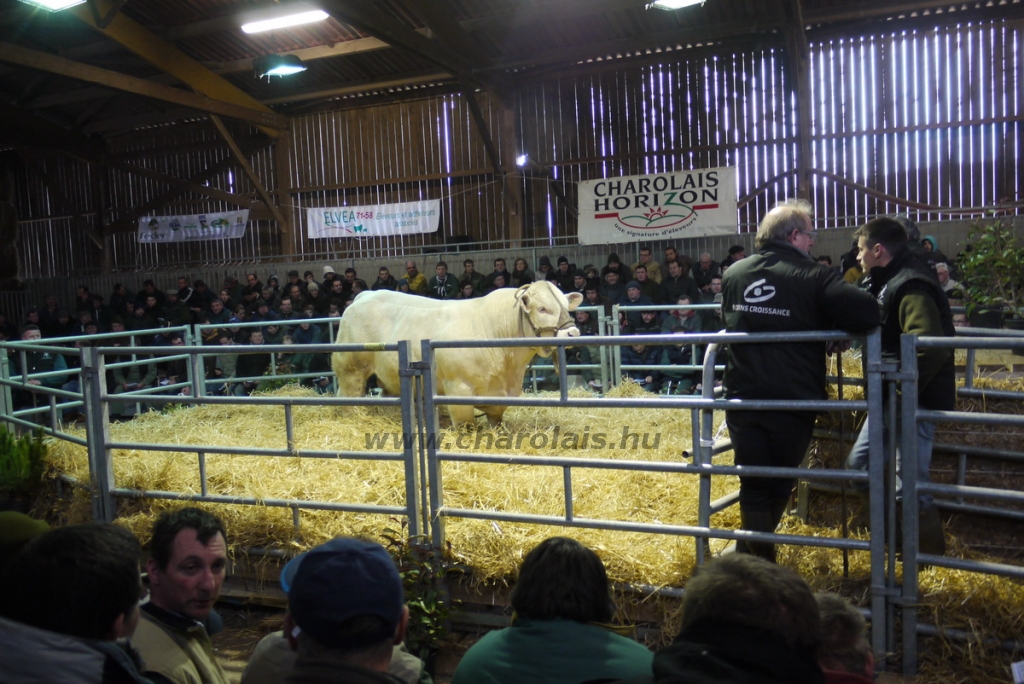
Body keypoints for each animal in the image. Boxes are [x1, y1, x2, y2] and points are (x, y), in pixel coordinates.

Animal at [329, 282, 581, 421]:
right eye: (543, 308)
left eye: (566, 307)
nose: (573, 333)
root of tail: (364, 296)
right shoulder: (458, 390)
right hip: (350, 369)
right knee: (349, 396)